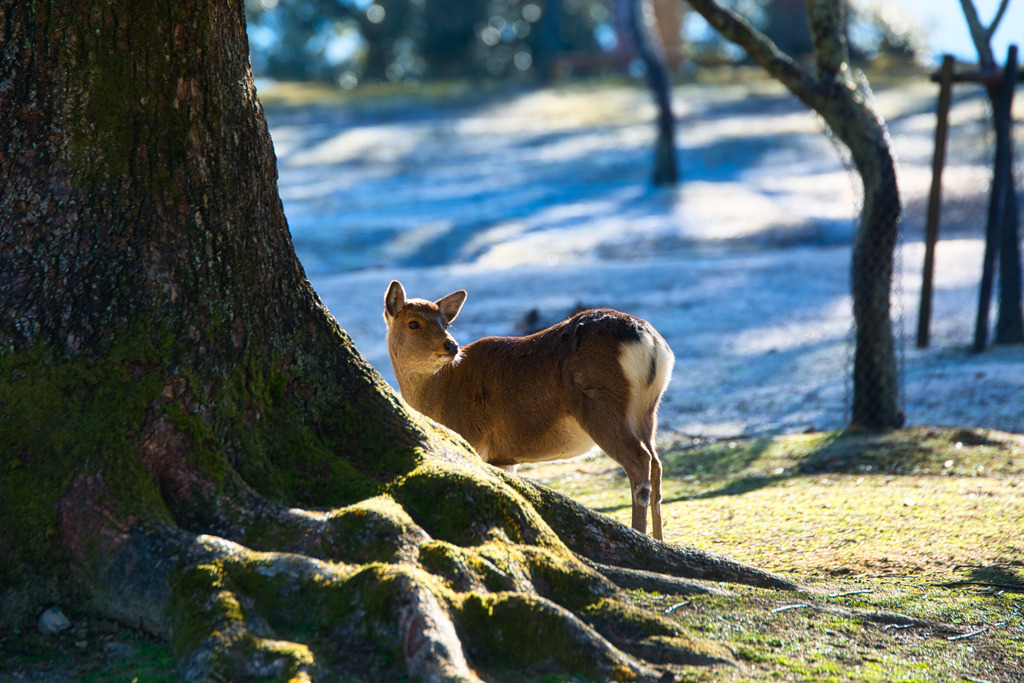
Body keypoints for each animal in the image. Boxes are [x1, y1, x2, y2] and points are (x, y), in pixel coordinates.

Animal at [382, 280, 671, 540]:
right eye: (413, 323)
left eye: (445, 323)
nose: (451, 345)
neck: (440, 397)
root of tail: (650, 342)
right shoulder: (502, 457)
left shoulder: (473, 439)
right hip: (647, 409)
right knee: (656, 466)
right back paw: (660, 540)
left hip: (600, 402)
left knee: (639, 461)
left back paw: (641, 536)